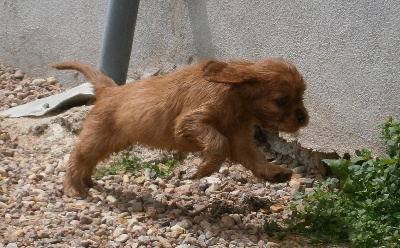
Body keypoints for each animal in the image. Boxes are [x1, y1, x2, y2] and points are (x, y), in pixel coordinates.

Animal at [52, 58, 310, 198]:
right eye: (282, 101)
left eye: (302, 96)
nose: (303, 118)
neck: (234, 95)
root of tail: (109, 90)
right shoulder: (191, 122)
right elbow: (219, 142)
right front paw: (205, 169)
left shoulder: (240, 138)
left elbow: (253, 156)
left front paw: (273, 172)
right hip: (98, 136)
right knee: (77, 157)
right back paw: (73, 187)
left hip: (111, 141)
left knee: (89, 160)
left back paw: (86, 182)